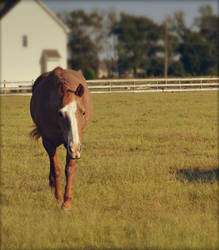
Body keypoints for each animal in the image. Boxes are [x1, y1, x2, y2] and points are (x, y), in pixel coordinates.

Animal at [29, 67, 92, 210]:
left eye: (83, 112)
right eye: (60, 113)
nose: (75, 148)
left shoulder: (73, 144)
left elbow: (69, 169)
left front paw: (67, 202)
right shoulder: (49, 143)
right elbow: (56, 169)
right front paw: (58, 198)